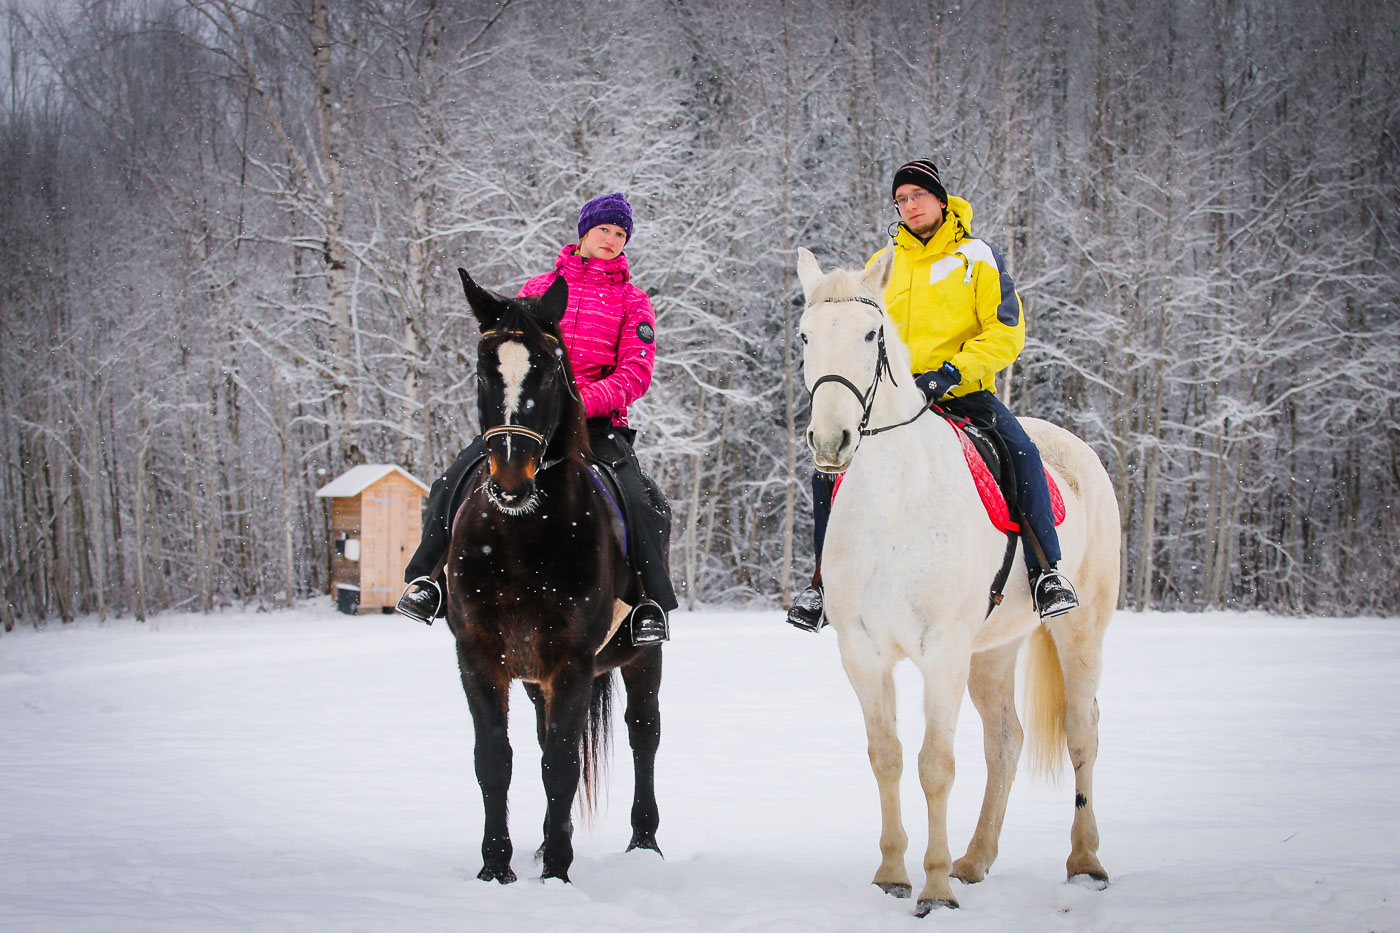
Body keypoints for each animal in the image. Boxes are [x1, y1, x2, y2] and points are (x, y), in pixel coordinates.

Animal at [450, 264, 663, 885]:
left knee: (644, 732)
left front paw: (557, 875)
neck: (522, 538)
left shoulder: (571, 662)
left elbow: (563, 763)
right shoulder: (479, 656)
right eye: (483, 371)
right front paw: (496, 869)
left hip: (644, 656)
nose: (511, 480)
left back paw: (644, 842)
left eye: (547, 372)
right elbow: (495, 759)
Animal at [800, 243, 1114, 913]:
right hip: (991, 651)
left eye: (870, 334)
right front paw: (893, 874)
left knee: (1082, 734)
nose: (831, 440)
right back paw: (977, 858)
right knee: (1005, 741)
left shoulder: (941, 651)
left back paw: (1084, 861)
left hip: (1081, 632)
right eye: (806, 335)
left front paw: (936, 888)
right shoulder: (863, 653)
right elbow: (887, 757)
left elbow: (935, 765)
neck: (894, 501)